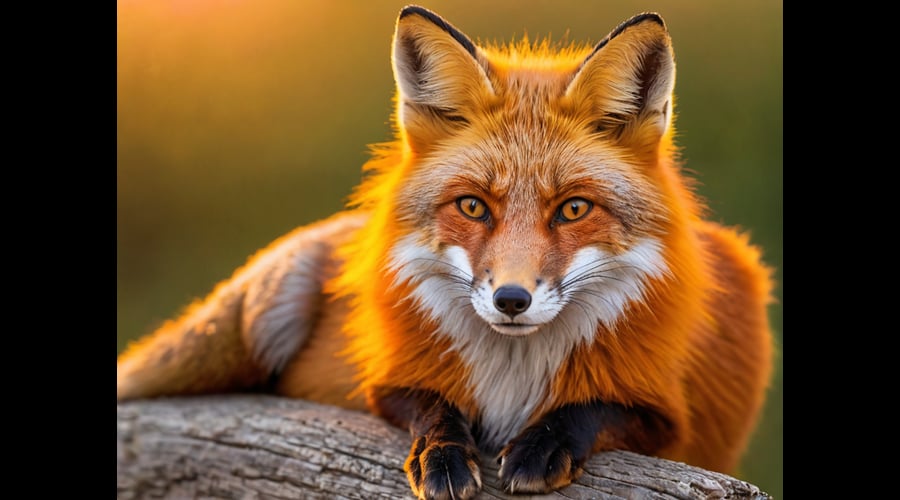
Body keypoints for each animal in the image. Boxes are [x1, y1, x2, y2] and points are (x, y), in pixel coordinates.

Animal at [117, 5, 774, 499]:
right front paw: (443, 454)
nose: (511, 300)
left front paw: (545, 443)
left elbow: (598, 406)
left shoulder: (677, 424)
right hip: (256, 315)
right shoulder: (383, 384)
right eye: (473, 207)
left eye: (573, 210)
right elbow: (430, 403)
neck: (512, 374)